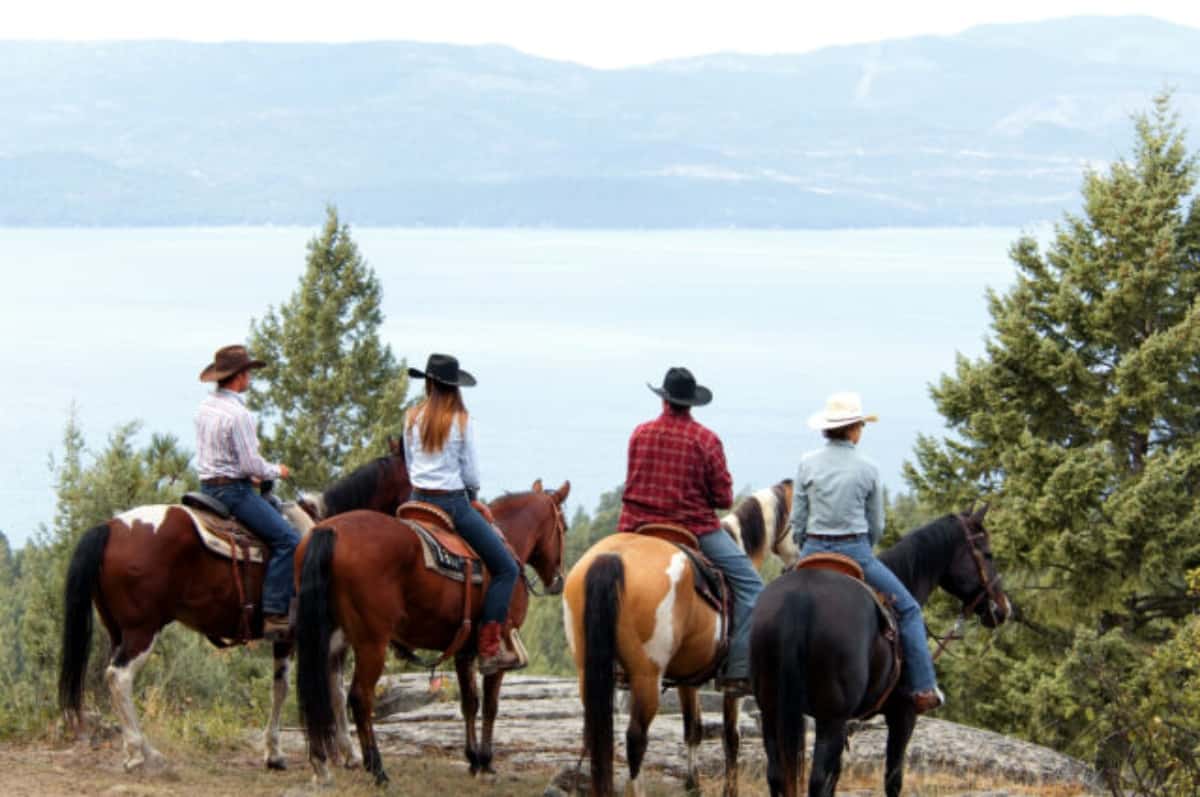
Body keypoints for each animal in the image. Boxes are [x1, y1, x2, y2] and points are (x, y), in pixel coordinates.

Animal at [57, 441, 412, 772]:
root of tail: (109, 527)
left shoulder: (285, 637)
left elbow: (280, 688)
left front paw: (275, 753)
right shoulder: (331, 635)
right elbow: (334, 690)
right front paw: (348, 754)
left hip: (117, 629)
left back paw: (137, 750)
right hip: (141, 631)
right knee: (119, 677)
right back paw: (141, 754)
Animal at [292, 480, 568, 782]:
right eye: (564, 526)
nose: (558, 581)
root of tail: (328, 530)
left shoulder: (464, 650)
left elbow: (469, 702)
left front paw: (473, 759)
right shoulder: (497, 652)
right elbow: (491, 706)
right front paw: (486, 761)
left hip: (321, 636)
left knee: (316, 694)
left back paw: (321, 765)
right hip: (371, 642)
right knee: (359, 697)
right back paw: (378, 771)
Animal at [561, 480, 796, 797]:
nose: (794, 564)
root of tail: (612, 557)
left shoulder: (688, 678)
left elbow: (693, 729)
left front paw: (692, 784)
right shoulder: (732, 684)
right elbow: (730, 738)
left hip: (589, 670)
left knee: (597, 732)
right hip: (647, 675)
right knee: (636, 739)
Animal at [748, 506, 1012, 792]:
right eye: (988, 554)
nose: (1003, 608)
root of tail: (800, 597)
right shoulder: (903, 714)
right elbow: (893, 778)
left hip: (772, 710)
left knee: (778, 775)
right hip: (831, 717)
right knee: (818, 780)